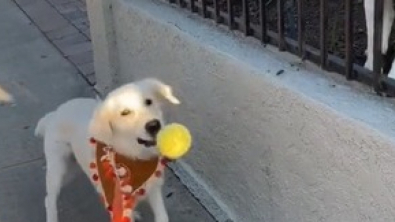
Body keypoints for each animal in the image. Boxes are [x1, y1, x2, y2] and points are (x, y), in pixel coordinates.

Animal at [35, 78, 181, 222]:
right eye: (125, 113)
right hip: (59, 170)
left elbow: (162, 216)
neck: (134, 156)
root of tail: (55, 113)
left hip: (72, 170)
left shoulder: (154, 188)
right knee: (49, 199)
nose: (154, 125)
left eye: (149, 102)